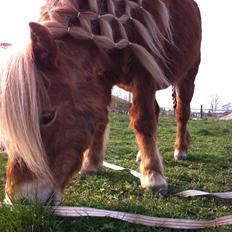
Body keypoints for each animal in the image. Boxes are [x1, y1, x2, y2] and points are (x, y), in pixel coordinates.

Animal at [0, 0, 201, 203]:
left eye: (47, 116)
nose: (16, 201)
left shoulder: (144, 72)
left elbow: (143, 121)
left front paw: (153, 176)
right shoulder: (101, 76)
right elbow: (101, 119)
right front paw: (91, 163)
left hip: (188, 76)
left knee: (182, 113)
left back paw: (180, 150)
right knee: (157, 110)